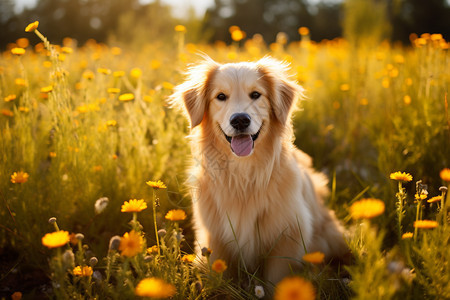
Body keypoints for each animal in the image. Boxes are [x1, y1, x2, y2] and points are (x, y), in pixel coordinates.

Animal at [169, 56, 348, 286]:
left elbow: (277, 281)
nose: (240, 120)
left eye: (255, 94)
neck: (244, 174)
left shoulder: (287, 238)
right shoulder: (215, 239)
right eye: (221, 96)